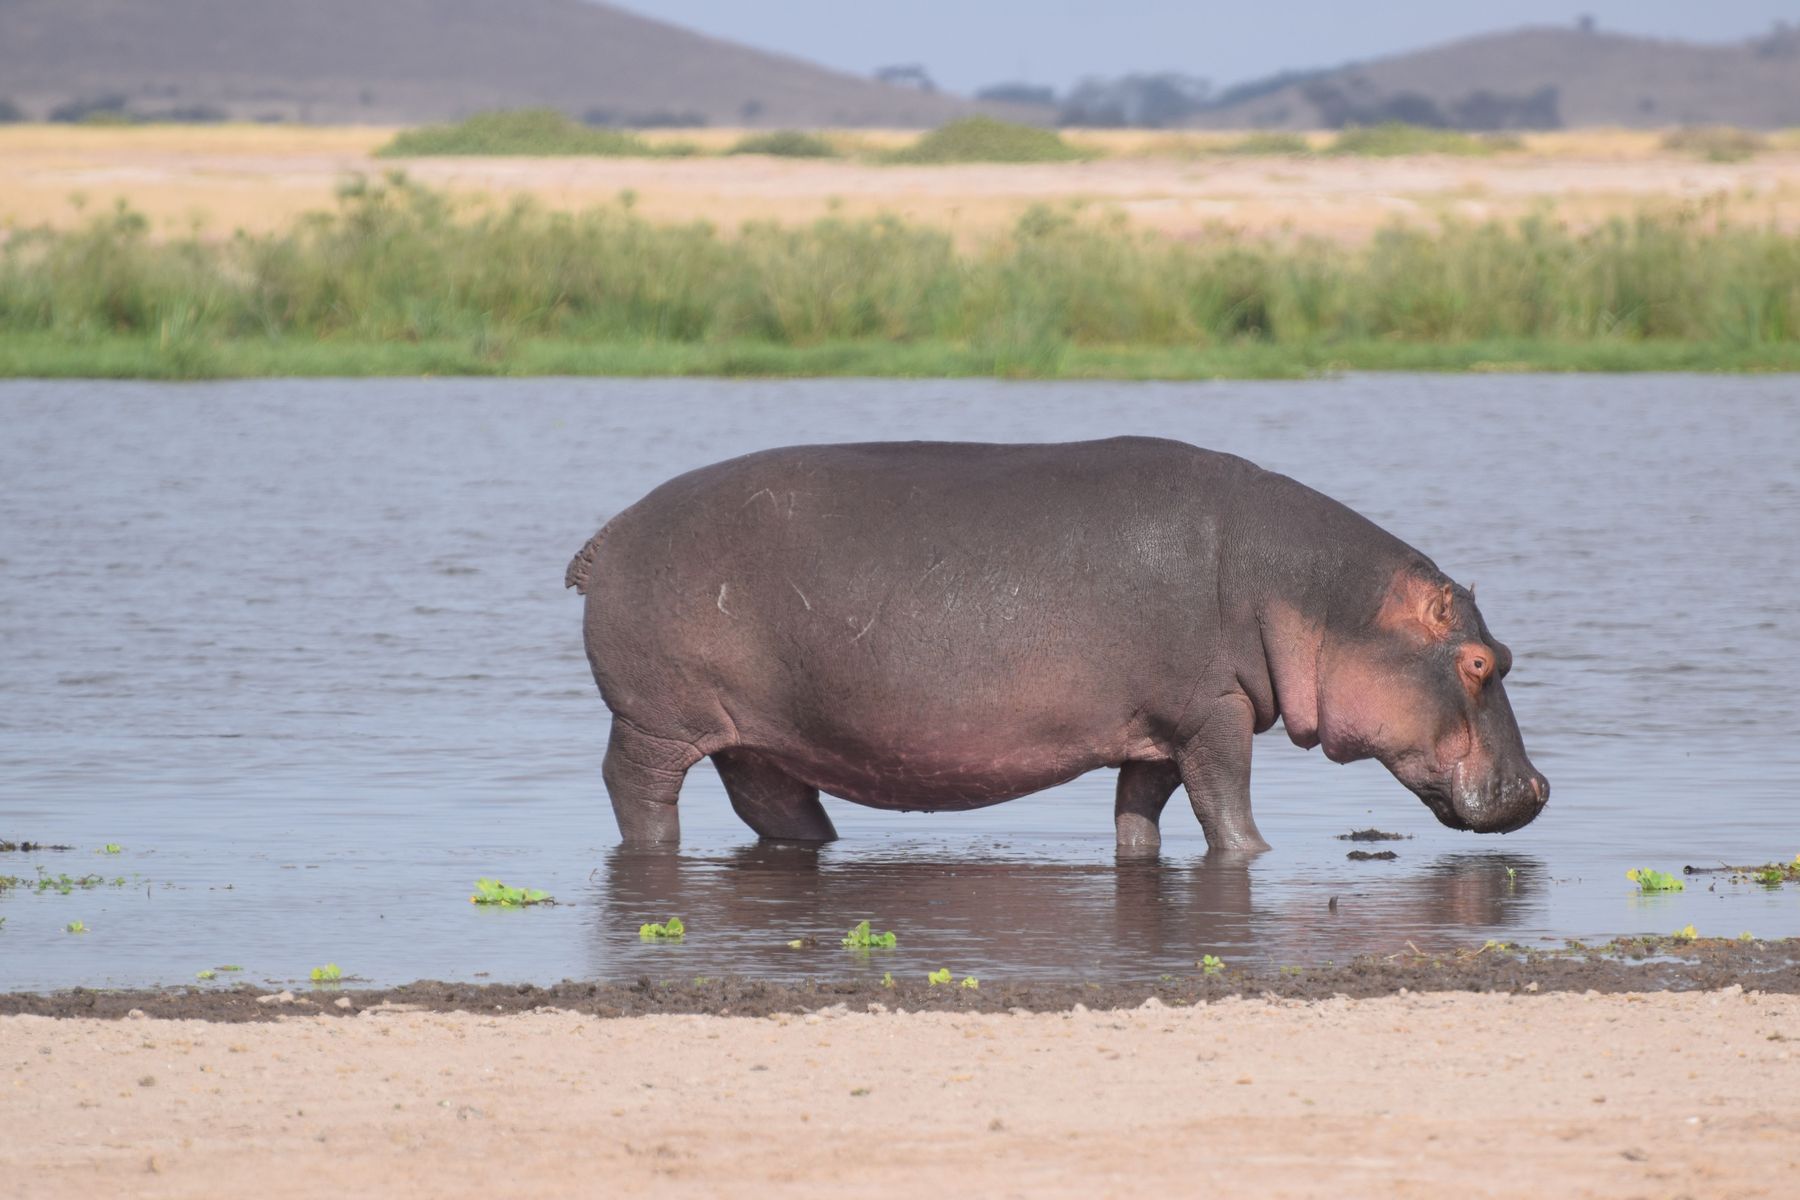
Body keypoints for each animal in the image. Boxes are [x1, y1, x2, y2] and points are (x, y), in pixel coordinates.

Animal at [566, 437, 1547, 852]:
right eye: (1478, 664)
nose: (1539, 789)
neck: (1317, 596)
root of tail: (606, 535)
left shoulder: (1156, 729)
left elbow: (1141, 814)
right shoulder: (1214, 712)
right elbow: (1226, 805)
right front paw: (1257, 858)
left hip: (761, 737)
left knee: (775, 805)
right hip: (654, 720)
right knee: (636, 789)